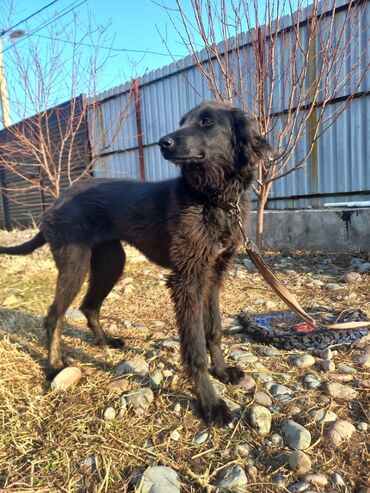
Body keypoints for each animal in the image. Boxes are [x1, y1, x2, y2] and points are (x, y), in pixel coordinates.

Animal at [0, 100, 272, 422]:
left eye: (207, 121)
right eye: (183, 122)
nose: (163, 143)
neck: (213, 199)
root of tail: (55, 202)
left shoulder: (213, 277)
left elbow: (214, 331)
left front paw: (222, 371)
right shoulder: (187, 280)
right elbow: (195, 349)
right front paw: (209, 402)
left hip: (111, 262)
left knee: (89, 305)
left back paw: (106, 341)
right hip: (74, 265)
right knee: (54, 315)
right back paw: (55, 365)